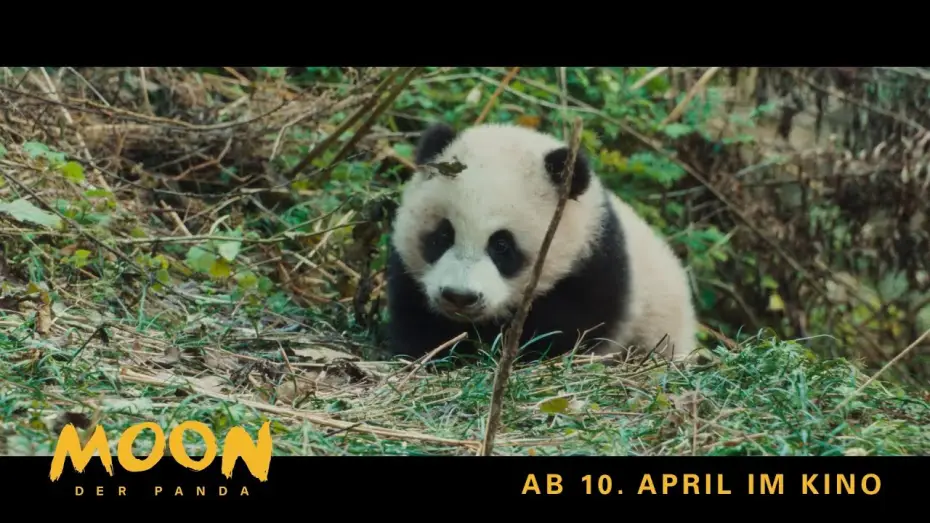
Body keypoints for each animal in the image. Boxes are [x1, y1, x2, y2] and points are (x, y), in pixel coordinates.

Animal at [383, 121, 698, 364]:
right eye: (444, 235)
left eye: (501, 245)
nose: (459, 296)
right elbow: (417, 322)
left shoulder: (592, 270)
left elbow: (566, 334)